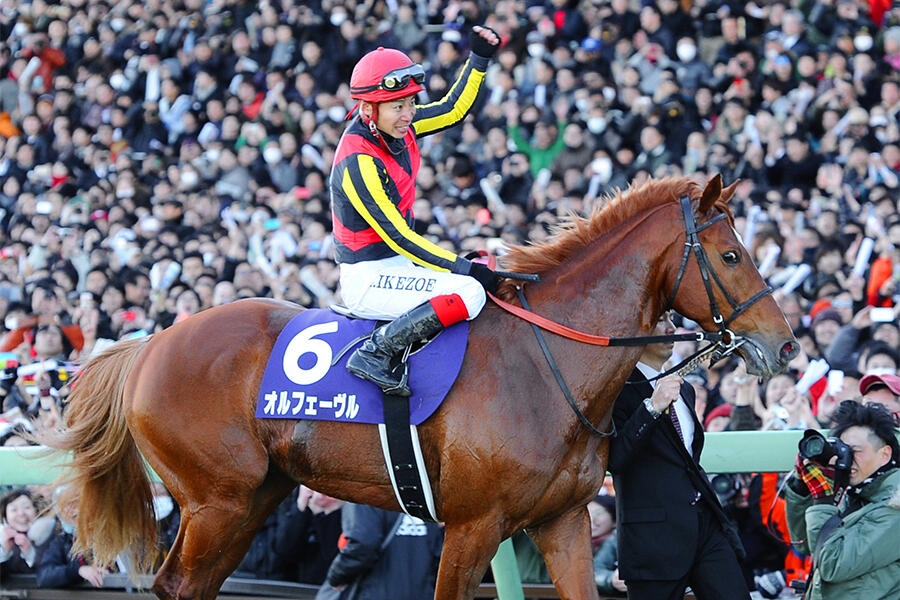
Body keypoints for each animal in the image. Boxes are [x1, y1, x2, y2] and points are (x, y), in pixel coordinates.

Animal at [47, 175, 797, 600]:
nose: (784, 343)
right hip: (216, 501)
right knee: (178, 583)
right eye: (731, 254)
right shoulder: (473, 526)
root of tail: (149, 345)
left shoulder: (562, 522)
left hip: (251, 497)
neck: (548, 363)